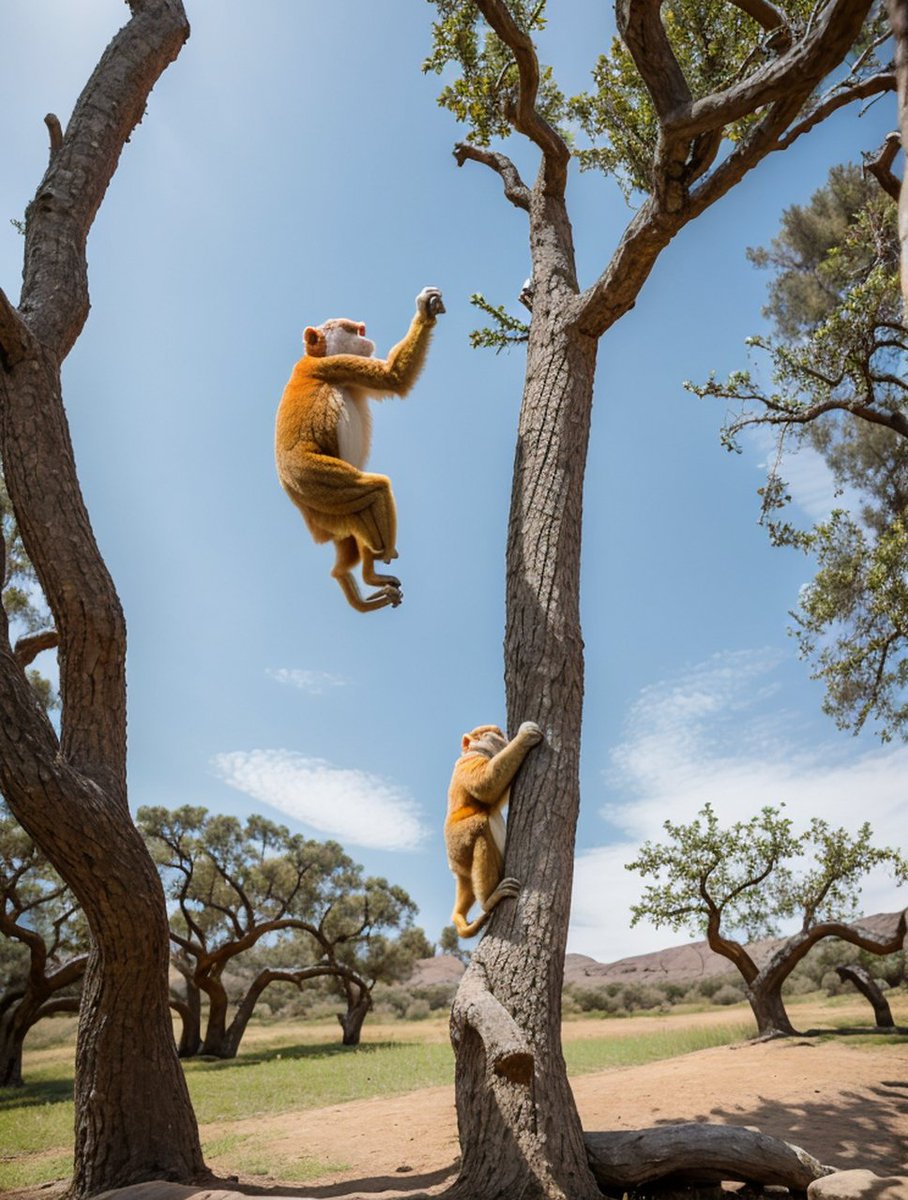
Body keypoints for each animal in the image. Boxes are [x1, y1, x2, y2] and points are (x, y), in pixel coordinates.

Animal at [275, 286, 445, 613]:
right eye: (344, 327)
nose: (361, 326)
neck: (316, 355)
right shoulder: (329, 365)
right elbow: (393, 377)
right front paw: (425, 313)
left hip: (323, 508)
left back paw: (355, 573)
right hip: (308, 479)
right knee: (374, 489)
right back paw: (376, 561)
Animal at [444, 720, 543, 938]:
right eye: (492, 734)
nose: (505, 738)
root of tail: (456, 869)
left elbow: (495, 796)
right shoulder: (469, 761)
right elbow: (486, 786)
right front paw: (524, 737)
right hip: (456, 843)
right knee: (481, 826)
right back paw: (491, 899)